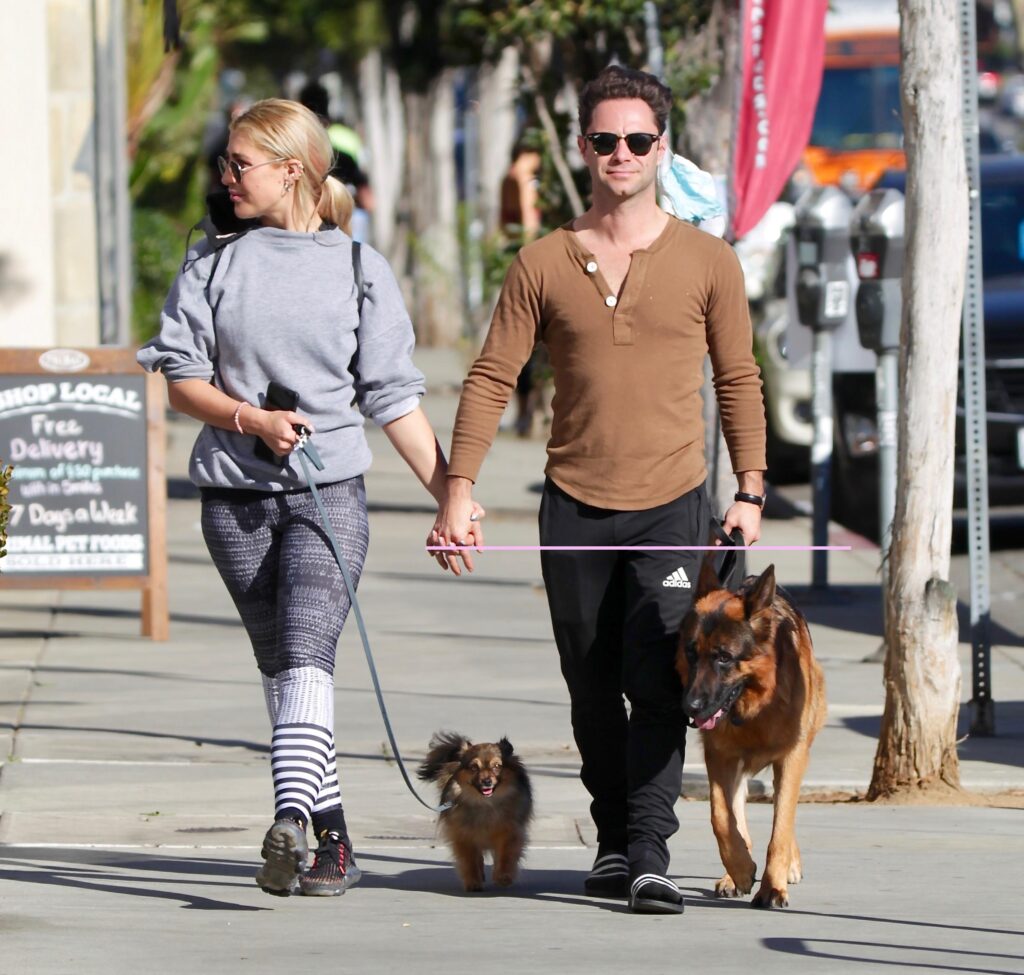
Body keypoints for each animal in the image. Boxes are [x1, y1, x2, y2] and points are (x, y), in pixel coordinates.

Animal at [415, 729, 536, 893]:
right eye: (474, 768)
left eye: (497, 766)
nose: (487, 781)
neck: (485, 804)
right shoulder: (464, 836)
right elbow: (470, 860)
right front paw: (473, 882)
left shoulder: (510, 831)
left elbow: (506, 854)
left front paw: (503, 876)